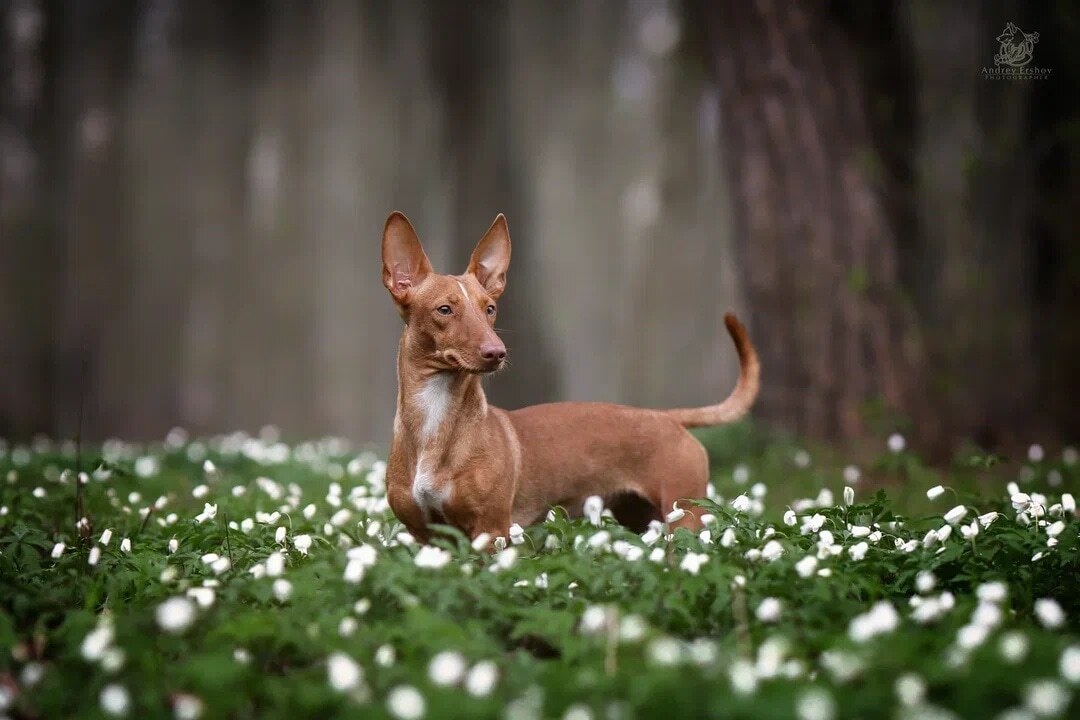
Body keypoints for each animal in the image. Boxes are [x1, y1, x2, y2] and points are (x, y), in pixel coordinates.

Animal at [380, 212, 760, 546]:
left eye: (490, 309)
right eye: (444, 310)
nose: (497, 352)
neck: (436, 419)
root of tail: (666, 417)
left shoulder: (491, 531)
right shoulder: (425, 537)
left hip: (685, 518)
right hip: (640, 518)